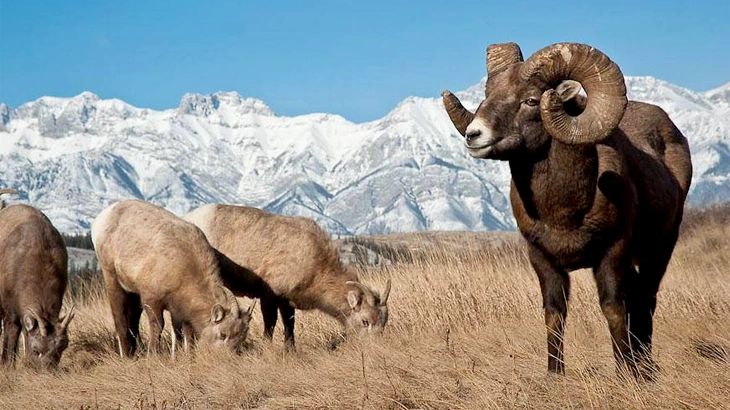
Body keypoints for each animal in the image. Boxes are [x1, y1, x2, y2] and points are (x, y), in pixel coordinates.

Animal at [91, 199, 254, 357]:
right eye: (222, 334)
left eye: (240, 339)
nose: (226, 358)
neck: (184, 264)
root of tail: (101, 218)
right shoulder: (152, 300)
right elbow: (158, 326)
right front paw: (153, 355)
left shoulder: (179, 310)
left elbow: (186, 332)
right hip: (113, 280)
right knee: (120, 320)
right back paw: (126, 355)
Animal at [183, 204, 390, 349]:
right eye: (365, 321)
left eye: (383, 322)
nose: (375, 348)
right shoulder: (269, 296)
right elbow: (270, 324)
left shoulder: (286, 301)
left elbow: (289, 326)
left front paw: (290, 350)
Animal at [441, 42, 692, 379]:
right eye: (487, 96)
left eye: (531, 100)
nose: (474, 135)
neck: (562, 212)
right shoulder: (542, 258)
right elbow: (554, 314)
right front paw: (555, 373)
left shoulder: (612, 251)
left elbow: (613, 308)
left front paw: (625, 373)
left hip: (661, 249)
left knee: (646, 299)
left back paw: (644, 366)